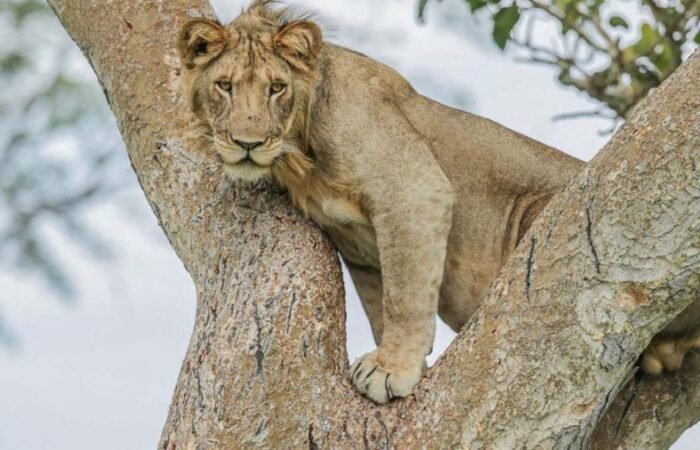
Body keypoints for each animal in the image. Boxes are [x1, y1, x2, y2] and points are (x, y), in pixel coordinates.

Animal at [179, 0, 700, 400]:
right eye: (224, 86)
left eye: (276, 88)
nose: (247, 143)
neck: (299, 153)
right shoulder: (359, 251)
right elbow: (382, 303)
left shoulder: (412, 189)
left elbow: (405, 298)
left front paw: (391, 369)